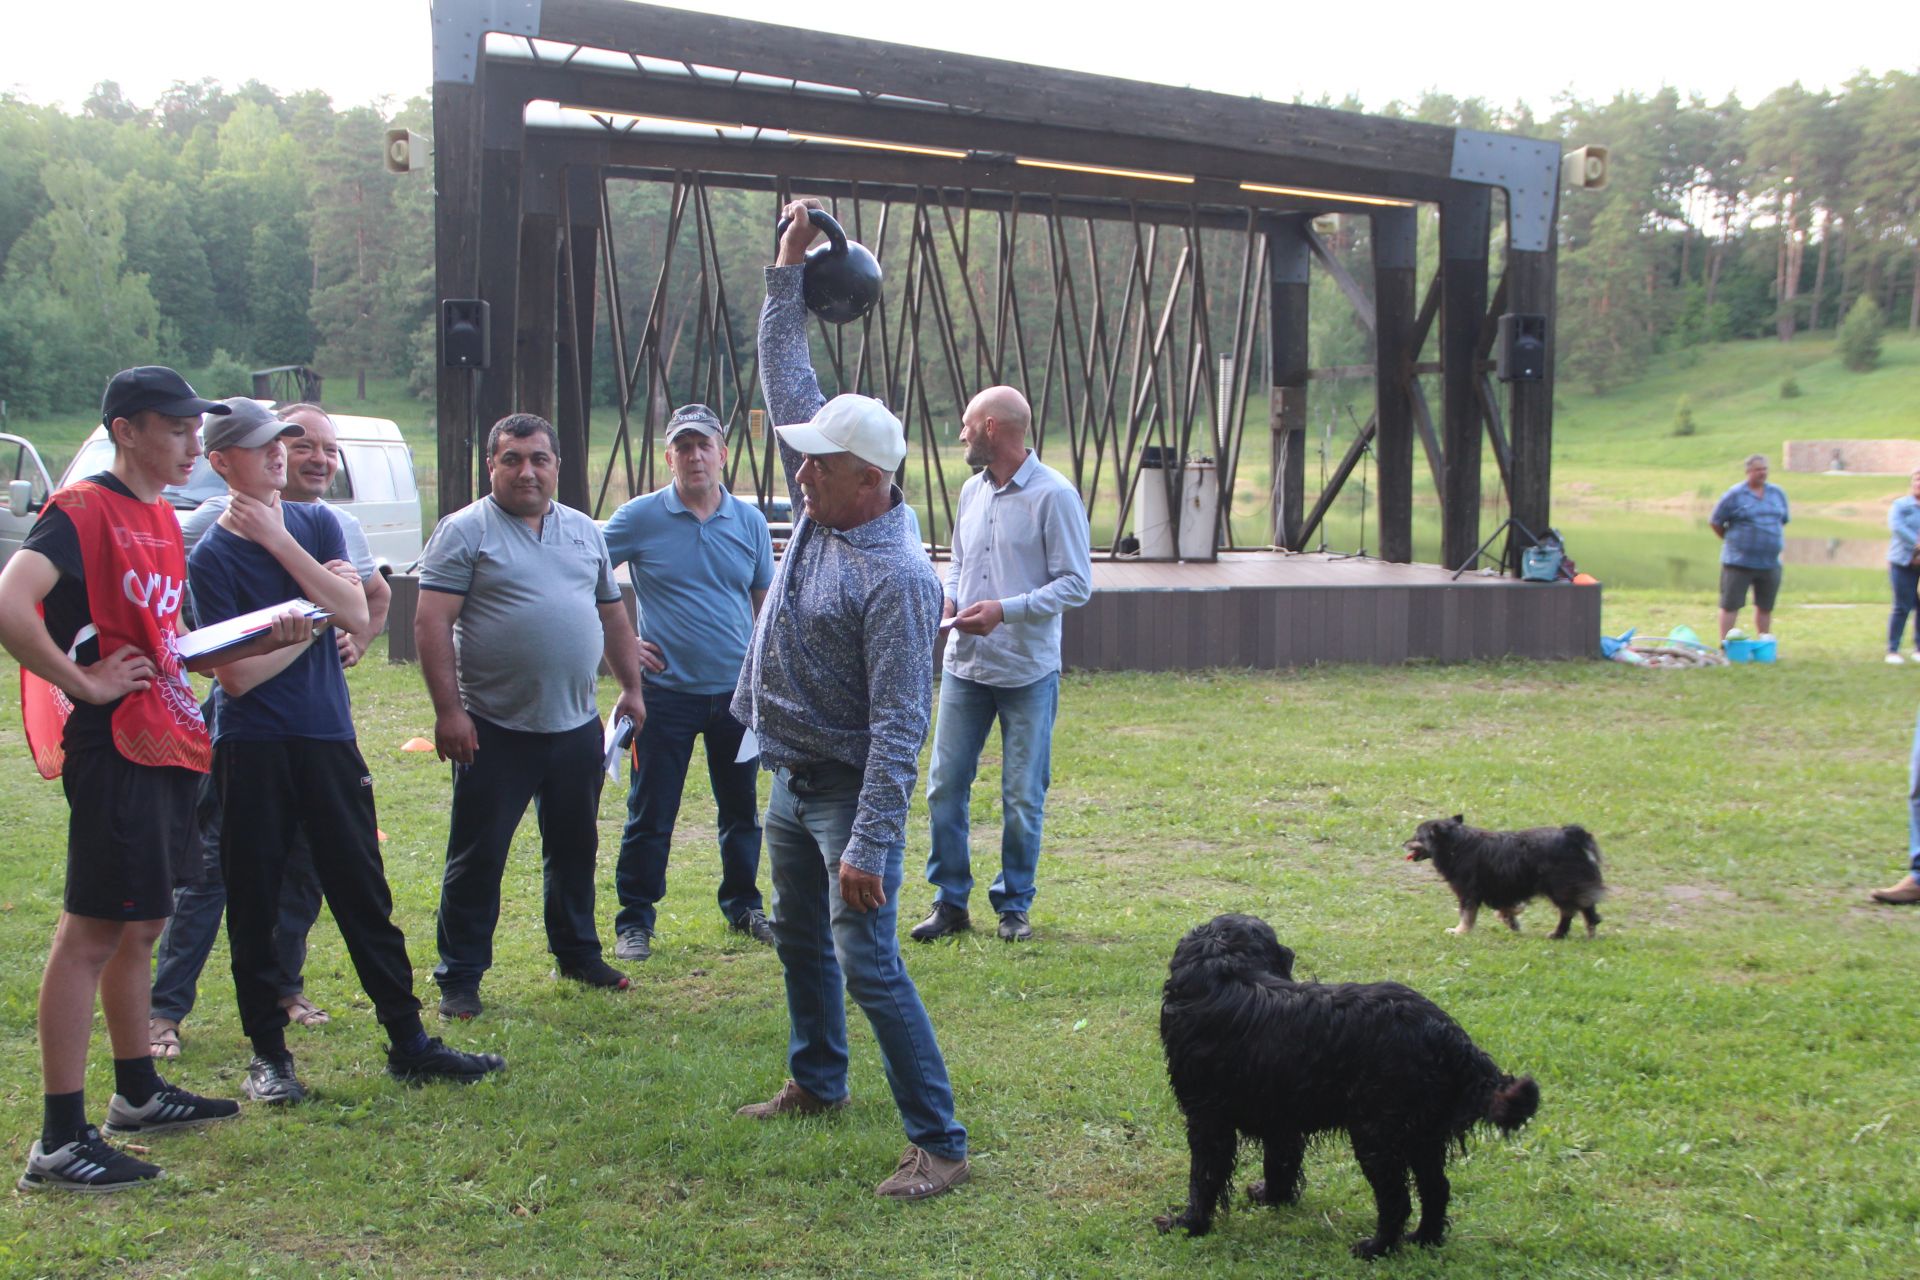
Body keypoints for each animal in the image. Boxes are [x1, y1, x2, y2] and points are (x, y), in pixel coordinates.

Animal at [1152, 909, 1543, 1258]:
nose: (1291, 953)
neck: (1225, 968)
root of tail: (1446, 1033)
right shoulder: (1281, 1115)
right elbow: (1280, 1162)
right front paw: (1272, 1197)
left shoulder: (1207, 1118)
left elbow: (1204, 1177)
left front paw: (1187, 1224)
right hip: (1421, 1134)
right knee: (1436, 1188)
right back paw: (1424, 1238)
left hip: (1377, 1136)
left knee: (1397, 1199)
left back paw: (1376, 1248)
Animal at [1413, 817, 1605, 936]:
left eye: (1417, 836)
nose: (1406, 842)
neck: (1456, 845)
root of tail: (1573, 836)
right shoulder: (1500, 889)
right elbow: (1506, 908)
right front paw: (1512, 920)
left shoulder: (1468, 893)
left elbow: (1467, 915)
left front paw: (1459, 931)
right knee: (1587, 911)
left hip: (1560, 887)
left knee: (1572, 912)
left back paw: (1561, 933)